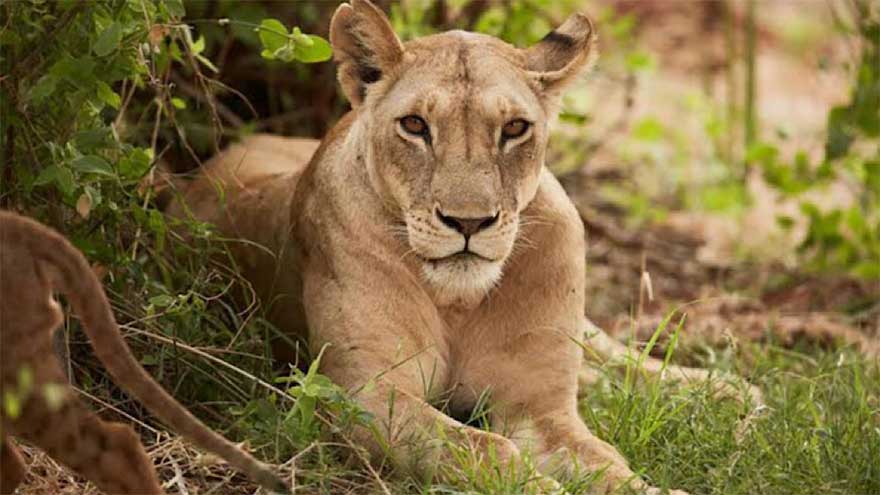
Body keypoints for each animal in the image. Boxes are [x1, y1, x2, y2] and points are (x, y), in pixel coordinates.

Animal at [167, 1, 759, 493]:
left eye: (515, 128)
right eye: (415, 125)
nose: (468, 221)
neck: (459, 300)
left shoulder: (539, 407)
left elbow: (607, 462)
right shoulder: (363, 394)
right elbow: (485, 450)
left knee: (613, 356)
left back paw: (727, 392)